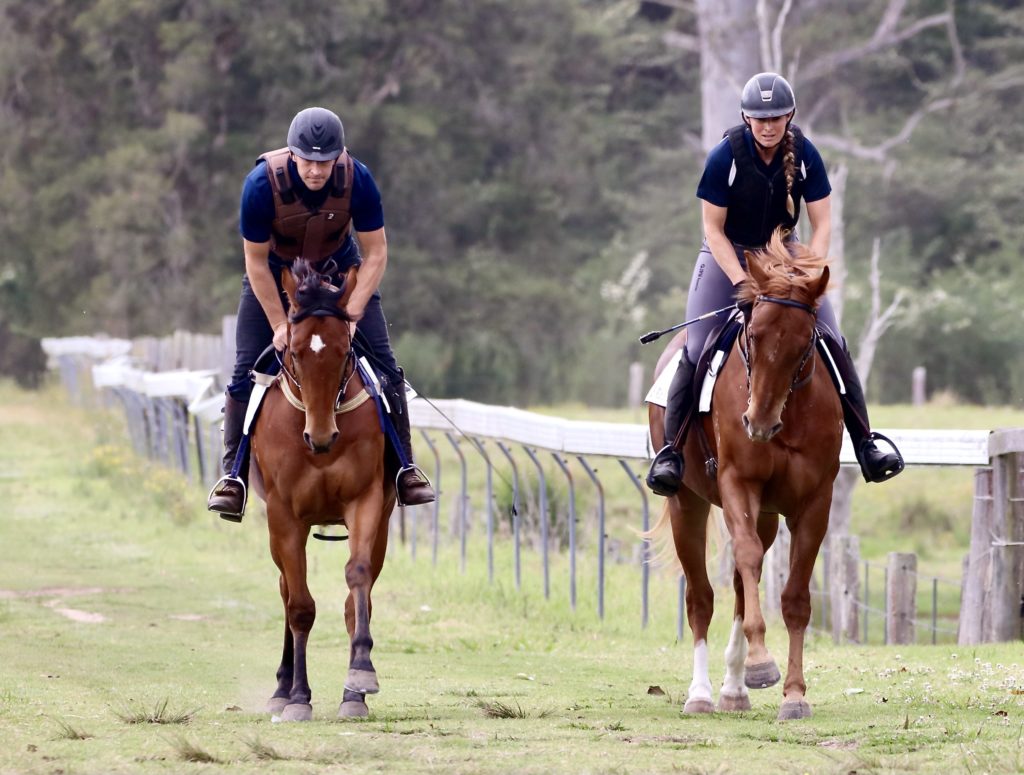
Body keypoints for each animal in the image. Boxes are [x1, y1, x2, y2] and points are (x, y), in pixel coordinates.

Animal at [248, 258, 396, 721]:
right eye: (294, 352)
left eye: (344, 351)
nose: (321, 436)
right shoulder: (284, 516)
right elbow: (299, 606)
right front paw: (298, 697)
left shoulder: (367, 501)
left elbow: (357, 580)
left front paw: (361, 675)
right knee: (286, 591)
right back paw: (283, 688)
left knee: (355, 598)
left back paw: (353, 694)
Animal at [648, 230, 843, 721]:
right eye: (752, 334)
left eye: (806, 342)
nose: (758, 423)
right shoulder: (737, 484)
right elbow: (749, 559)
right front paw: (761, 664)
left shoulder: (816, 502)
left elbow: (794, 598)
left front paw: (793, 693)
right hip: (687, 503)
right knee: (702, 597)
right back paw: (701, 694)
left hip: (767, 515)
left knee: (739, 584)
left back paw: (734, 689)